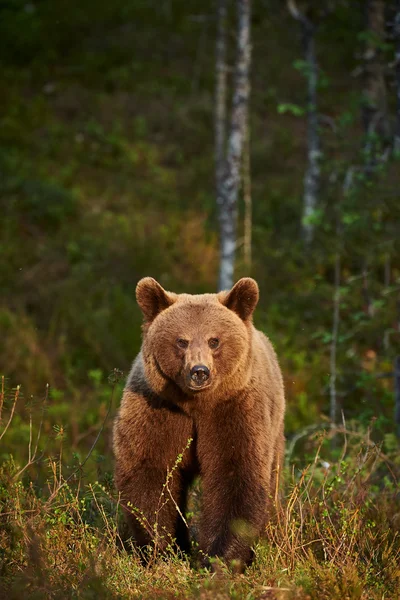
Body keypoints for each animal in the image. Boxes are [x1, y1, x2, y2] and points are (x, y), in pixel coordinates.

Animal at [113, 276, 284, 568]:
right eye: (182, 341)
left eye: (214, 340)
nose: (199, 372)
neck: (195, 405)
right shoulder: (159, 411)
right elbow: (151, 474)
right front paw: (165, 549)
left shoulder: (235, 409)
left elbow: (237, 474)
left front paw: (219, 557)